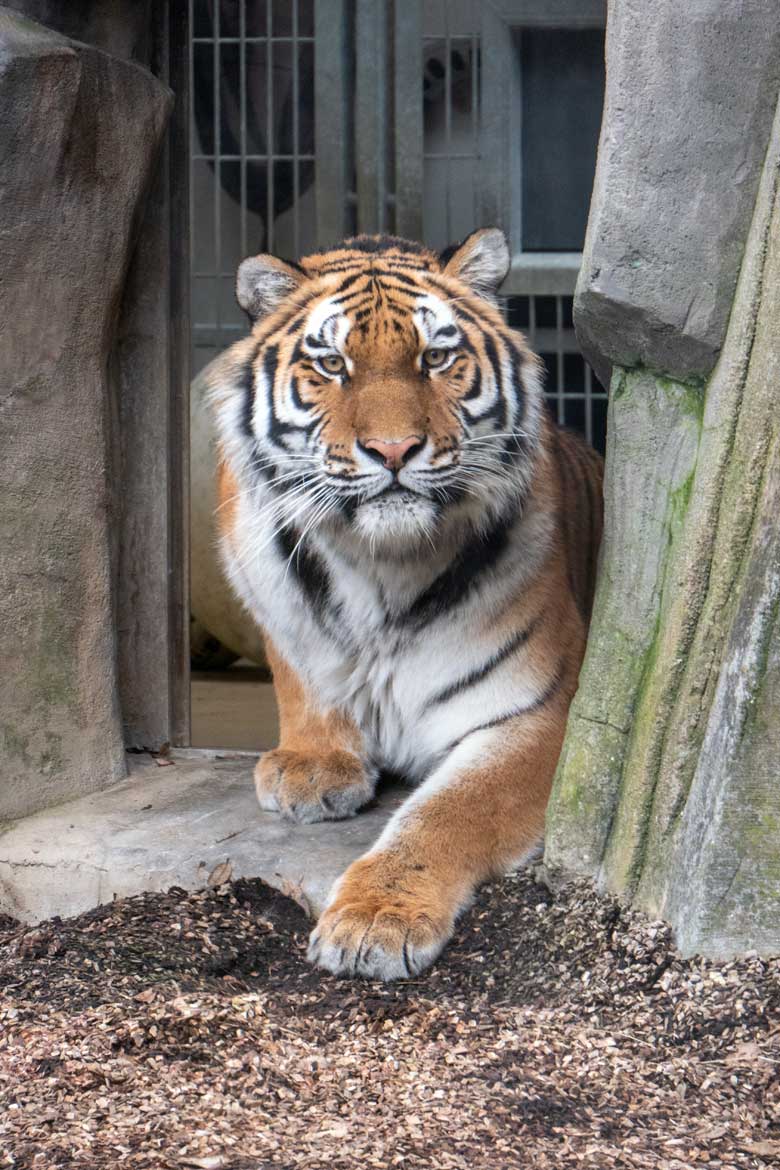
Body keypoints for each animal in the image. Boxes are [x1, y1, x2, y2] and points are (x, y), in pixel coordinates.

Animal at [206, 228, 603, 978]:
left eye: (436, 358)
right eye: (332, 363)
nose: (393, 450)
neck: (379, 569)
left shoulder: (538, 716)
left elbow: (442, 814)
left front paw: (374, 920)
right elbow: (302, 676)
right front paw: (309, 765)